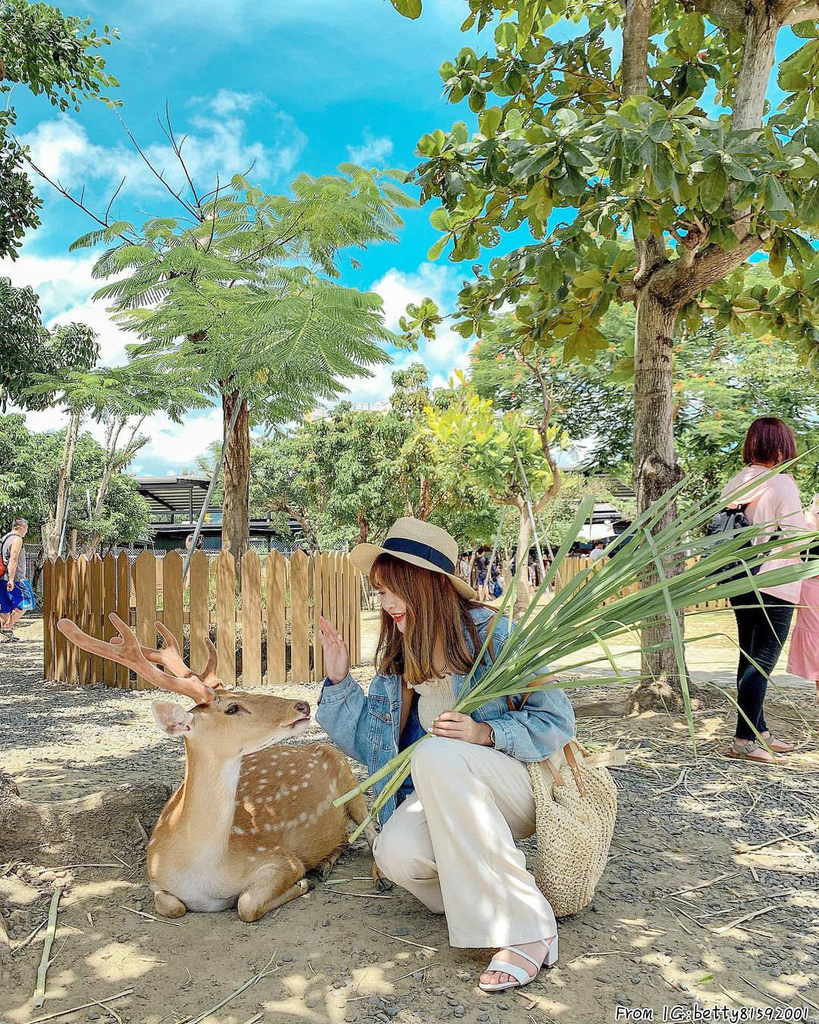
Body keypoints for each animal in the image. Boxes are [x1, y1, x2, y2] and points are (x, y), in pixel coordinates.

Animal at [57, 610, 384, 925]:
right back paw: (328, 861)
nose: (302, 705)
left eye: (242, 693)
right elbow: (172, 906)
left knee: (372, 832)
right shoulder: (156, 878)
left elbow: (246, 903)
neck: (204, 874)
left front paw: (303, 883)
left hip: (349, 780)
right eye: (232, 707)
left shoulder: (281, 858)